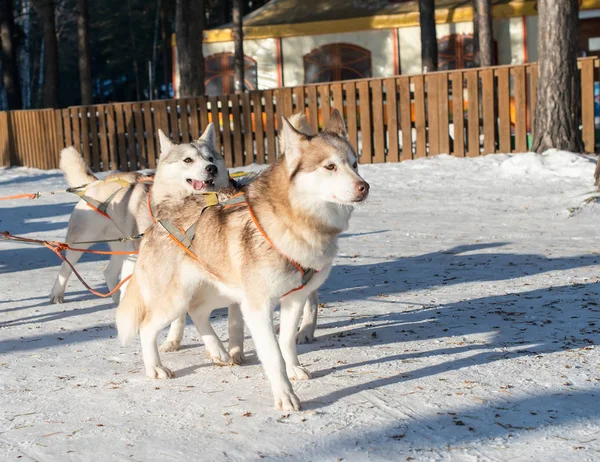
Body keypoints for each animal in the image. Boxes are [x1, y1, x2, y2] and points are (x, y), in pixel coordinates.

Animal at [114, 110, 368, 410]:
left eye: (354, 164)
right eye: (330, 166)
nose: (364, 187)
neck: (294, 222)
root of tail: (161, 219)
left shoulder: (293, 299)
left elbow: (286, 342)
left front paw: (293, 368)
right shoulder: (257, 307)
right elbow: (273, 355)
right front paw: (285, 395)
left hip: (220, 291)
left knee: (197, 311)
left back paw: (218, 351)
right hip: (176, 298)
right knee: (147, 327)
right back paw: (155, 367)